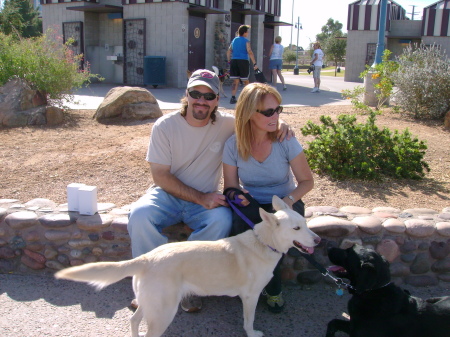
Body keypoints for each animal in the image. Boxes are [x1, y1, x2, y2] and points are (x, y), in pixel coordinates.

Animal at [55, 196, 320, 336]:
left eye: (305, 224)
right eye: (296, 228)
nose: (318, 240)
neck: (263, 242)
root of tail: (148, 257)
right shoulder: (250, 297)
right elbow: (249, 321)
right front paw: (252, 333)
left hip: (151, 305)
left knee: (133, 321)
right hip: (163, 312)